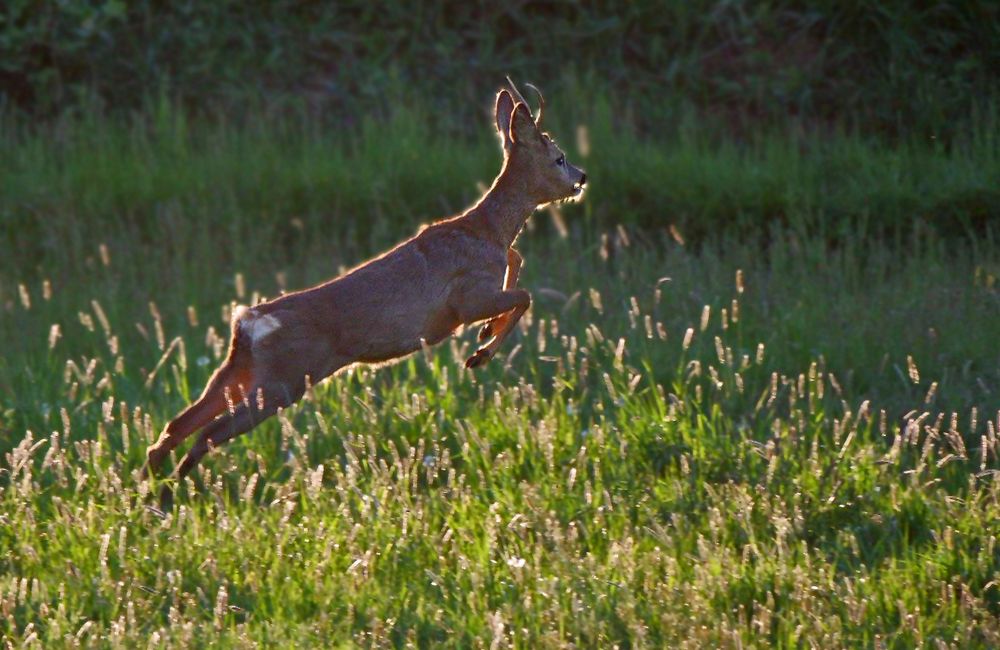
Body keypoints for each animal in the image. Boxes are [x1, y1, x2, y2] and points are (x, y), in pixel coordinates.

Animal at [145, 81, 588, 504]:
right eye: (559, 157)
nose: (581, 177)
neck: (489, 230)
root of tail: (248, 321)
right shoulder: (467, 298)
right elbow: (524, 295)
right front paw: (481, 351)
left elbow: (518, 263)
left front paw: (485, 336)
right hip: (283, 380)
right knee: (205, 434)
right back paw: (168, 494)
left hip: (242, 369)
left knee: (176, 426)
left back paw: (153, 491)